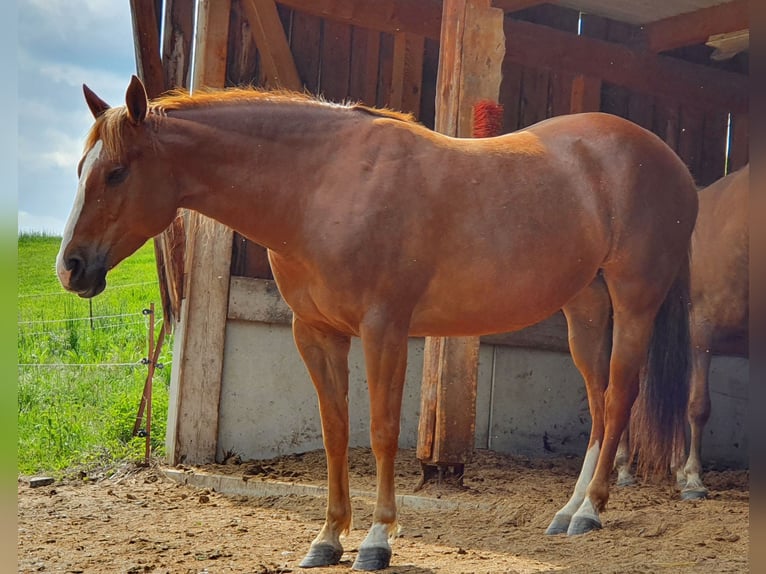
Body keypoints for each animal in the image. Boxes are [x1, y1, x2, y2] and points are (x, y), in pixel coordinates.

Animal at [57, 76, 700, 572]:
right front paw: (326, 540)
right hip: (584, 307)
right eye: (82, 169)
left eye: (117, 172)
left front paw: (376, 539)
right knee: (598, 405)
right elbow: (336, 431)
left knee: (619, 397)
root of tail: (673, 162)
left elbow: (385, 430)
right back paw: (568, 511)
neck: (322, 185)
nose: (71, 267)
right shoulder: (315, 333)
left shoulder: (384, 328)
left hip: (634, 303)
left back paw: (591, 509)